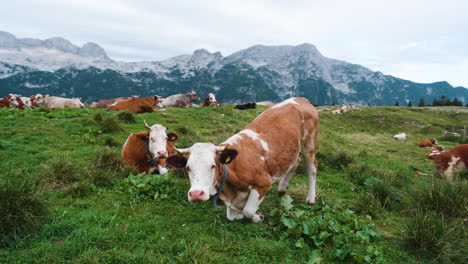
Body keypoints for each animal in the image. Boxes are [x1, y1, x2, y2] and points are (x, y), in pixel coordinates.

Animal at [167, 96, 318, 221]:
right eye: (188, 168)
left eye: (212, 165)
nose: (196, 194)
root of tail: (300, 99)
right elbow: (233, 215)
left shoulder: (263, 183)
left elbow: (248, 211)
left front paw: (258, 216)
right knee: (295, 163)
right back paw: (282, 188)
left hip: (309, 143)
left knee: (312, 168)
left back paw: (310, 199)